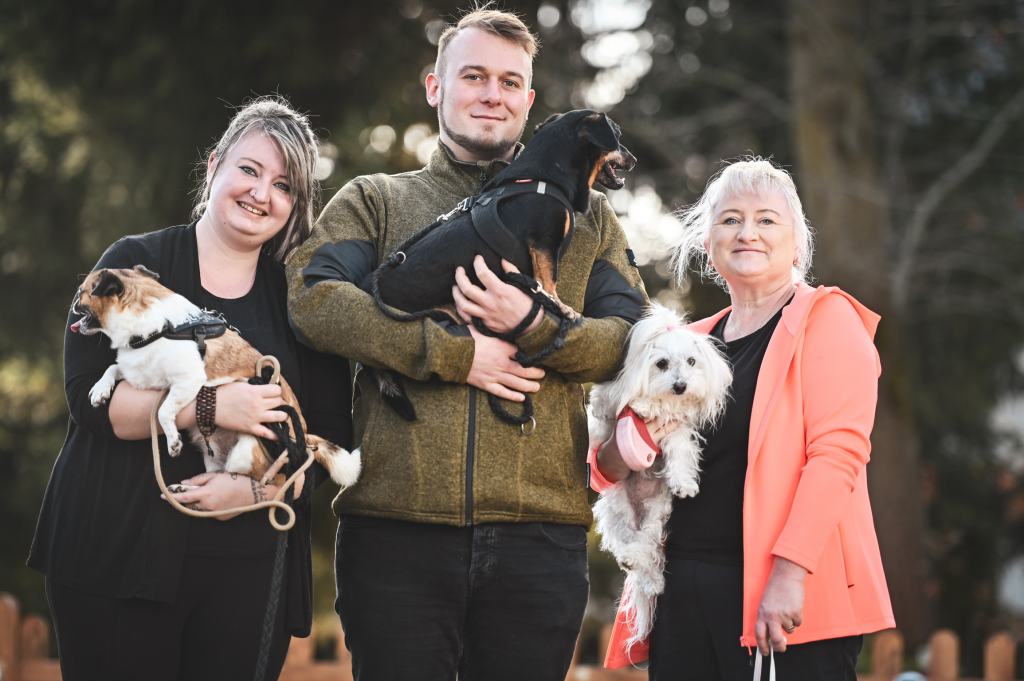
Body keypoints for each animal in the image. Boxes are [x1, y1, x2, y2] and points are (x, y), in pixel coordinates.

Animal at [72, 265, 362, 490]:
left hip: (246, 453)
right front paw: (100, 389)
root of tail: (304, 438)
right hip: (213, 460)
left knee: (259, 479)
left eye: (81, 292)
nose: (73, 302)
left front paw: (173, 440)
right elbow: (113, 368)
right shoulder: (140, 373)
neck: (159, 328)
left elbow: (163, 411)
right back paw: (185, 489)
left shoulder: (187, 382)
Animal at [363, 109, 636, 420]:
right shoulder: (544, 241)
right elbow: (549, 279)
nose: (634, 159)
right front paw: (559, 306)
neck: (546, 175)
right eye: (617, 135)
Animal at [589, 303, 732, 646]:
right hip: (618, 510)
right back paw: (637, 565)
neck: (666, 402)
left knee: (646, 545)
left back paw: (651, 578)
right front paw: (641, 405)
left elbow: (679, 454)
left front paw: (684, 483)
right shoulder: (611, 402)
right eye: (662, 363)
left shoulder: (678, 431)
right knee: (631, 544)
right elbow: (609, 405)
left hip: (656, 514)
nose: (681, 385)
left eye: (692, 361)